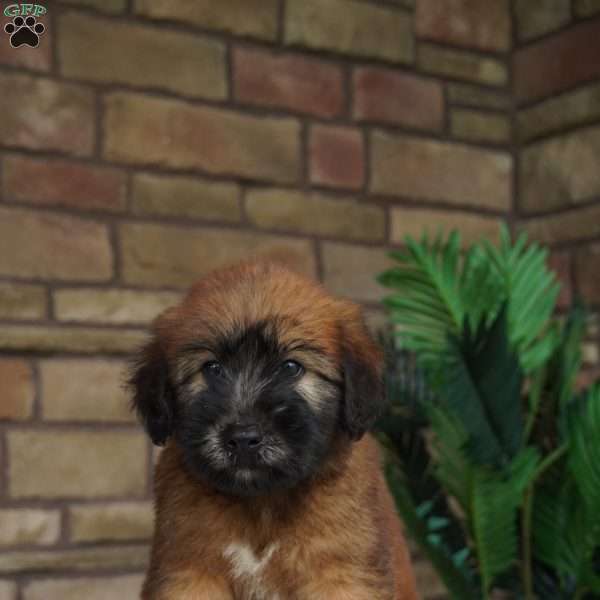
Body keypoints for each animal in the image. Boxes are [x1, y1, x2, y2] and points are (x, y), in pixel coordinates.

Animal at [129, 258, 420, 600]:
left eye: (291, 367)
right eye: (212, 369)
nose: (243, 439)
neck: (262, 502)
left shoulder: (342, 573)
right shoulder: (189, 571)